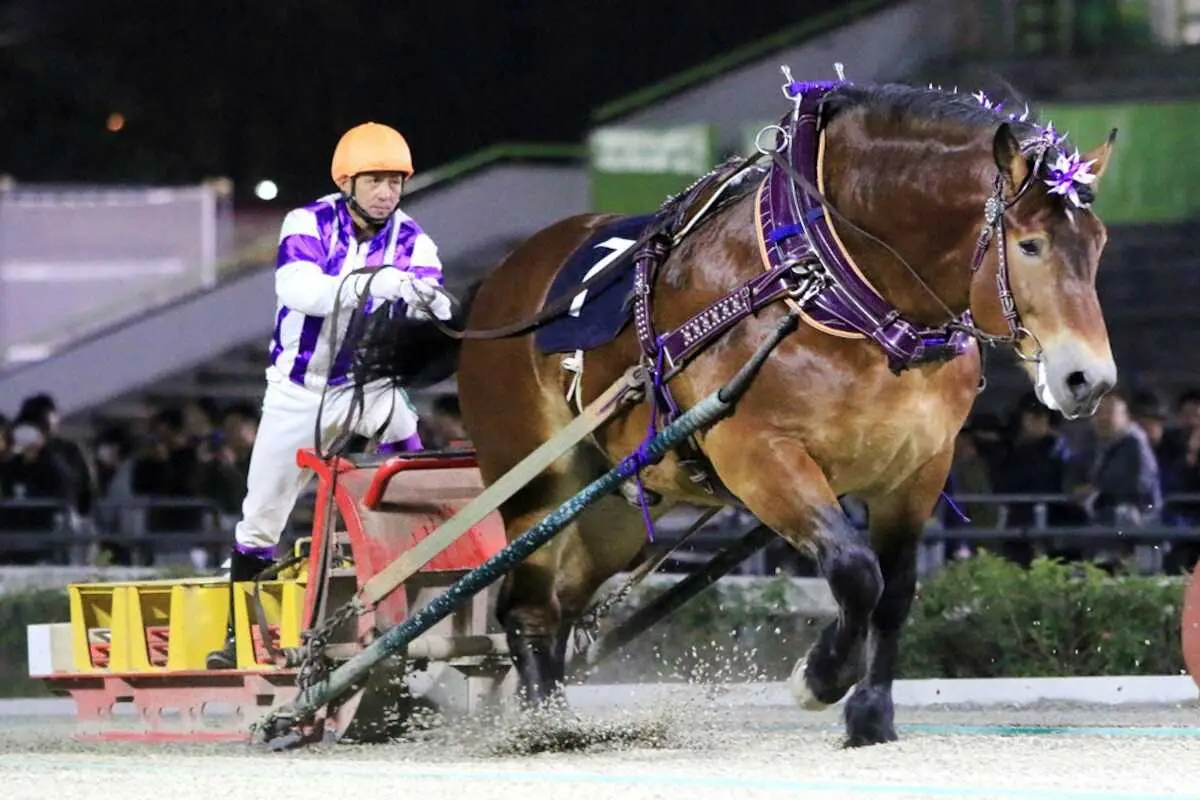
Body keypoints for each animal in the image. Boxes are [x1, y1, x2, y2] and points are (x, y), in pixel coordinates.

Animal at [386, 74, 1123, 743]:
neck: (826, 279)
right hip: (539, 482)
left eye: (1099, 245)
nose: (1087, 378)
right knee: (529, 606)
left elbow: (896, 590)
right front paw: (820, 678)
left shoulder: (918, 467)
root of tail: (503, 280)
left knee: (561, 605)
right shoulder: (759, 456)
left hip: (612, 504)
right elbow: (857, 573)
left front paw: (870, 714)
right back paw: (545, 727)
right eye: (1029, 244)